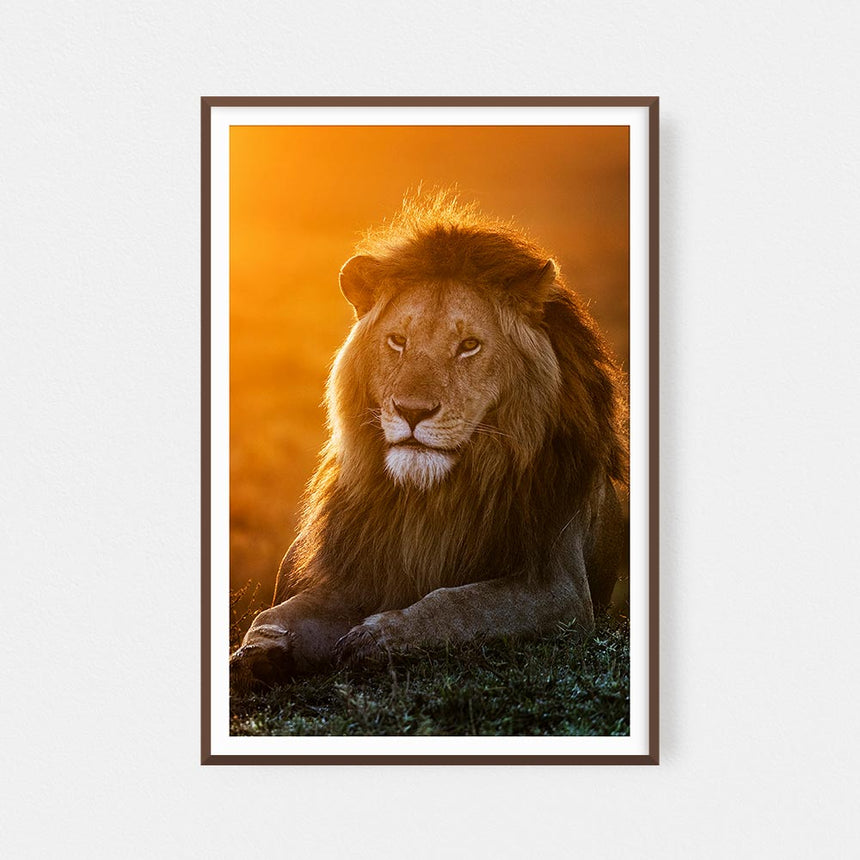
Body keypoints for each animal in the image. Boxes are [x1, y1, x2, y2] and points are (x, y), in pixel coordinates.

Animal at [230, 193, 628, 690]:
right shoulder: (356, 570)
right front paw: (258, 652)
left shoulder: (560, 588)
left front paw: (379, 636)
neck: (432, 499)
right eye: (398, 340)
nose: (412, 411)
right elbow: (280, 613)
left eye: (469, 345)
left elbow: (458, 603)